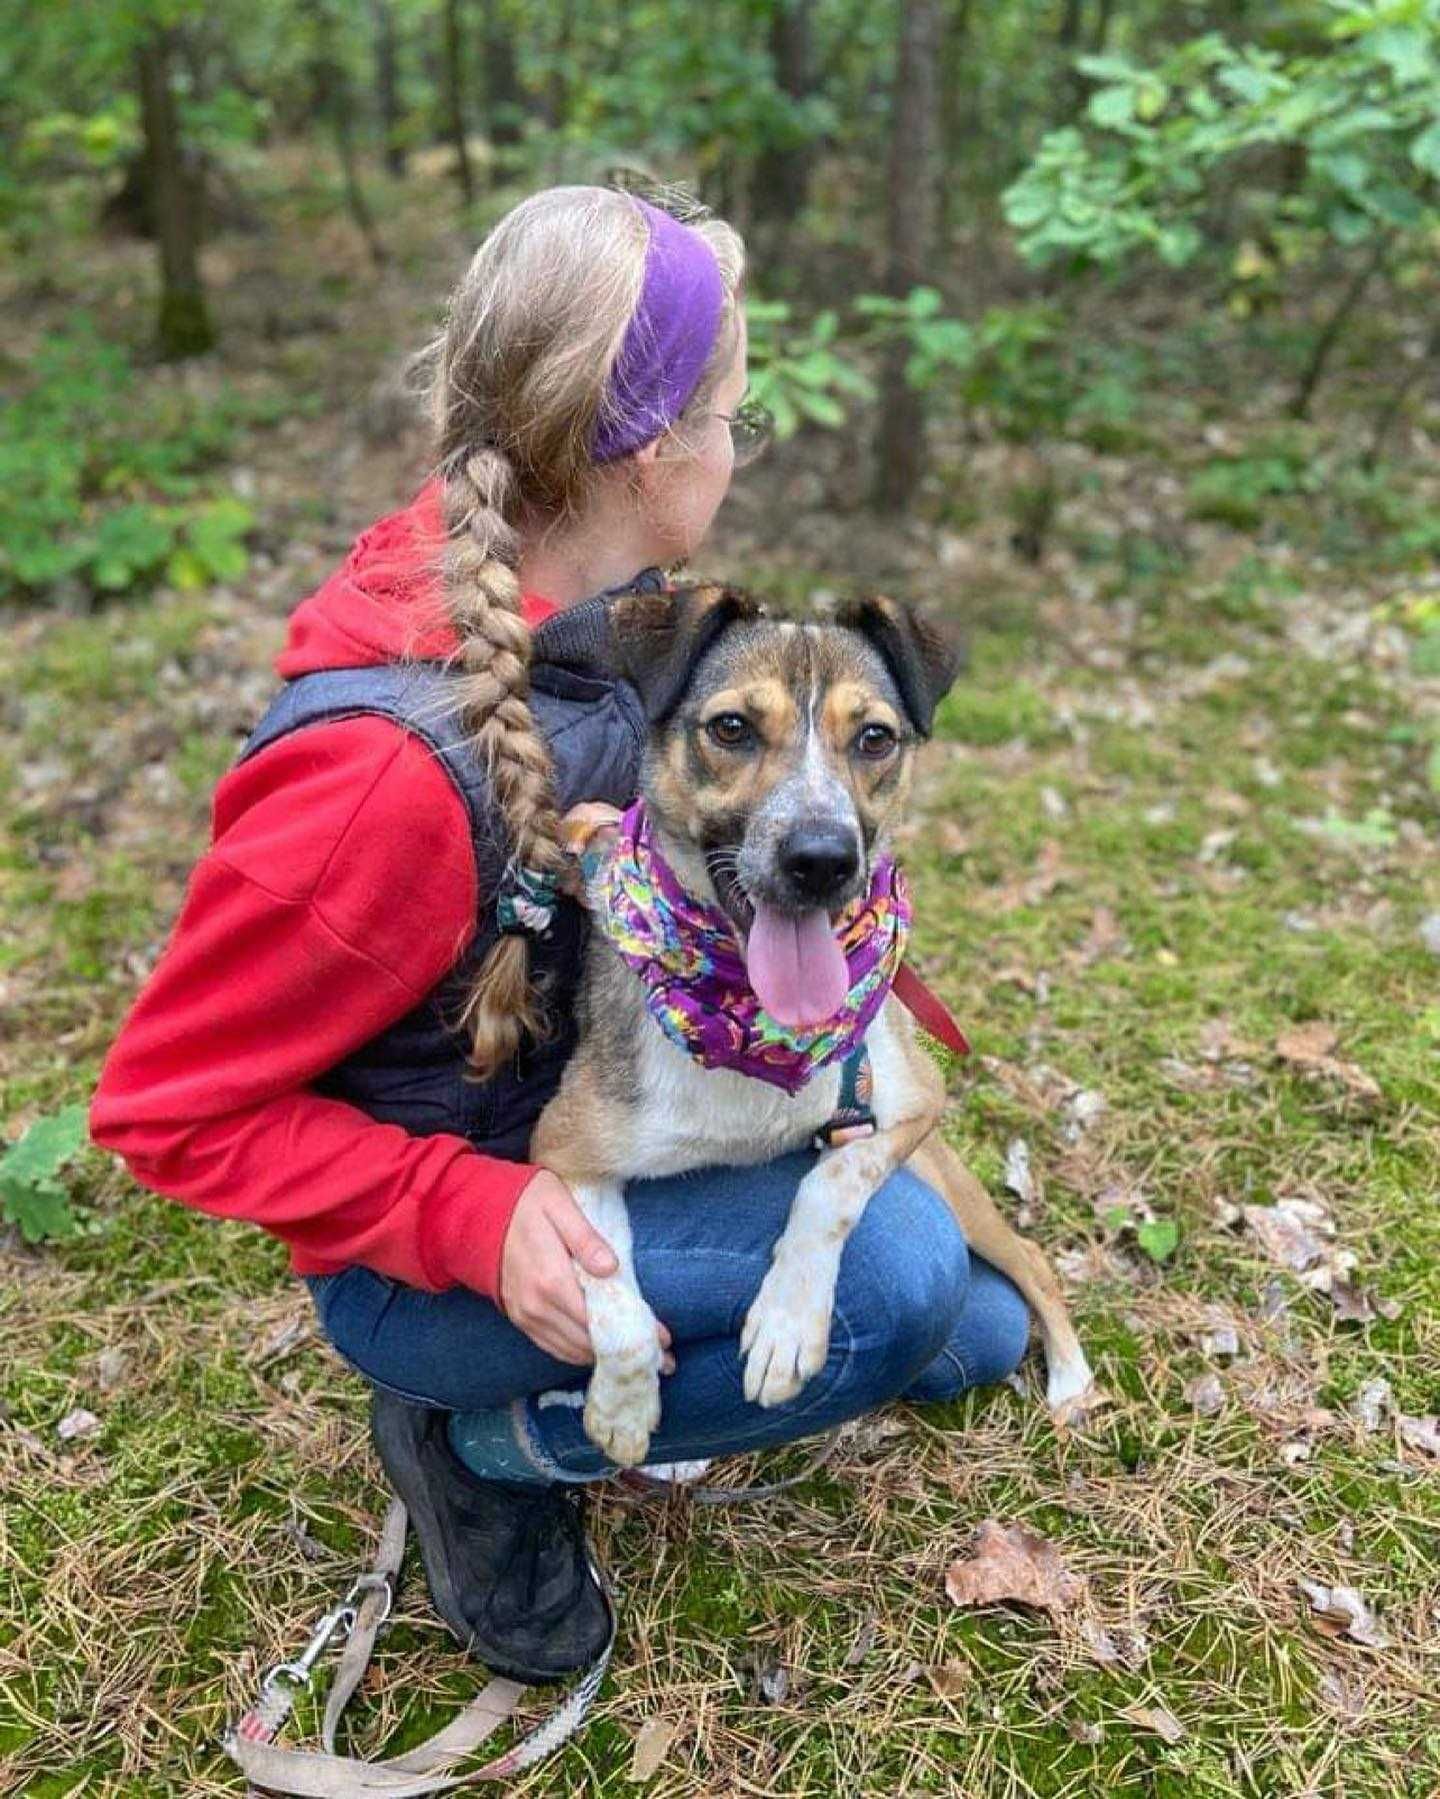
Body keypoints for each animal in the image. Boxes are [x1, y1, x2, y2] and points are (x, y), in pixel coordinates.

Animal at [532, 582, 1094, 1467]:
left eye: (875, 738)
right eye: (731, 727)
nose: (822, 859)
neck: (752, 1022)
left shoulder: (911, 1101)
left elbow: (833, 1182)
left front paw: (788, 1324)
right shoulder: (562, 1148)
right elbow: (610, 1284)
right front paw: (623, 1408)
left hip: (945, 1181)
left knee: (1031, 1255)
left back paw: (1072, 1377)